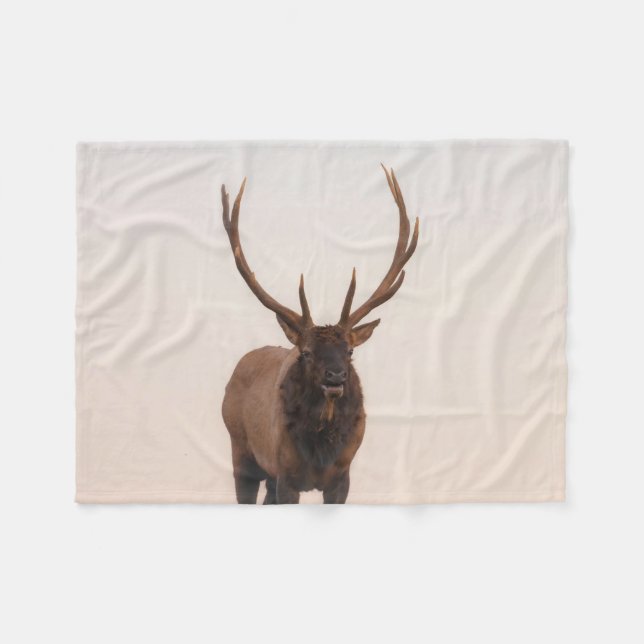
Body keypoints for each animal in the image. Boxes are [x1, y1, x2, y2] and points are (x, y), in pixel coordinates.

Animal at [220, 166, 419, 504]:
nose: (335, 376)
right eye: (306, 353)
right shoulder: (285, 474)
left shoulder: (342, 477)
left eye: (349, 351)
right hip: (241, 451)